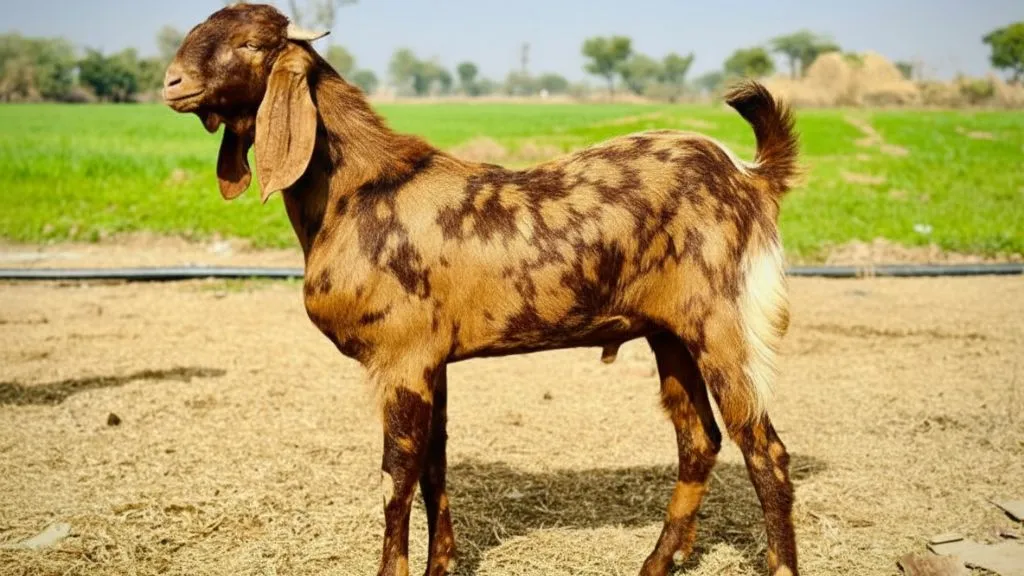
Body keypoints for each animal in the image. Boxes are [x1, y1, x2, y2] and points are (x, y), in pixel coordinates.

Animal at [164, 5, 801, 576]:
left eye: (250, 43)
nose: (172, 82)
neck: (359, 189)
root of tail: (750, 177)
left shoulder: (401, 358)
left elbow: (395, 478)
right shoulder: (430, 361)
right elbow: (433, 464)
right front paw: (440, 564)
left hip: (726, 327)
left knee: (763, 449)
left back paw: (777, 566)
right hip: (670, 333)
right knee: (700, 441)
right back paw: (656, 563)